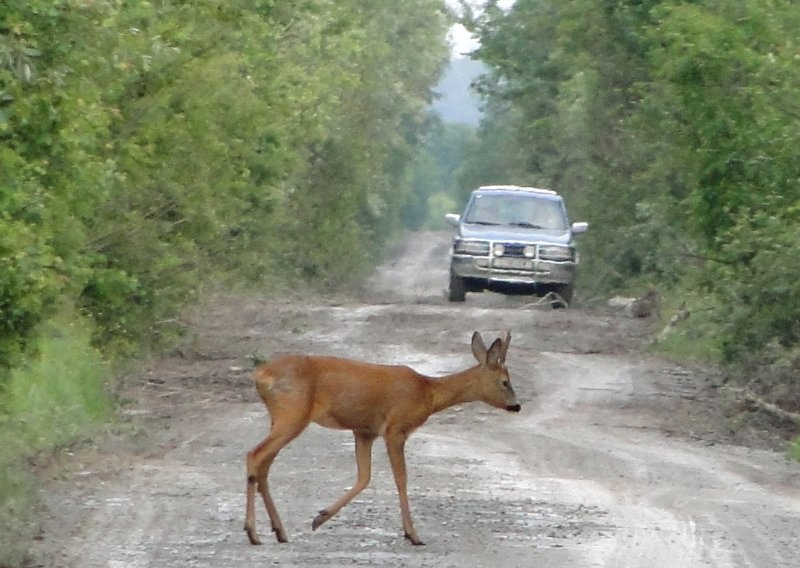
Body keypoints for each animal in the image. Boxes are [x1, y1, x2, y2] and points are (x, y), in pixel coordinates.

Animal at [244, 332, 520, 544]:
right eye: (505, 382)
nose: (516, 406)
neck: (427, 393)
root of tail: (261, 375)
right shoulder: (395, 428)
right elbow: (401, 478)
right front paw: (412, 534)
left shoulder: (365, 431)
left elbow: (364, 477)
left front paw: (319, 518)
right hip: (293, 413)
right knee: (254, 455)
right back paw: (253, 533)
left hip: (281, 417)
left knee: (264, 466)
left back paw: (279, 531)